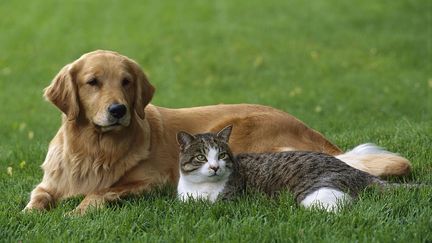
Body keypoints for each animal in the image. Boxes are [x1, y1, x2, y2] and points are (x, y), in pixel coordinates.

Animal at [176, 125, 394, 211]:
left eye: (221, 155)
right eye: (201, 157)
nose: (214, 167)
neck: (200, 188)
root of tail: (355, 170)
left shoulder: (229, 201)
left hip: (313, 193)